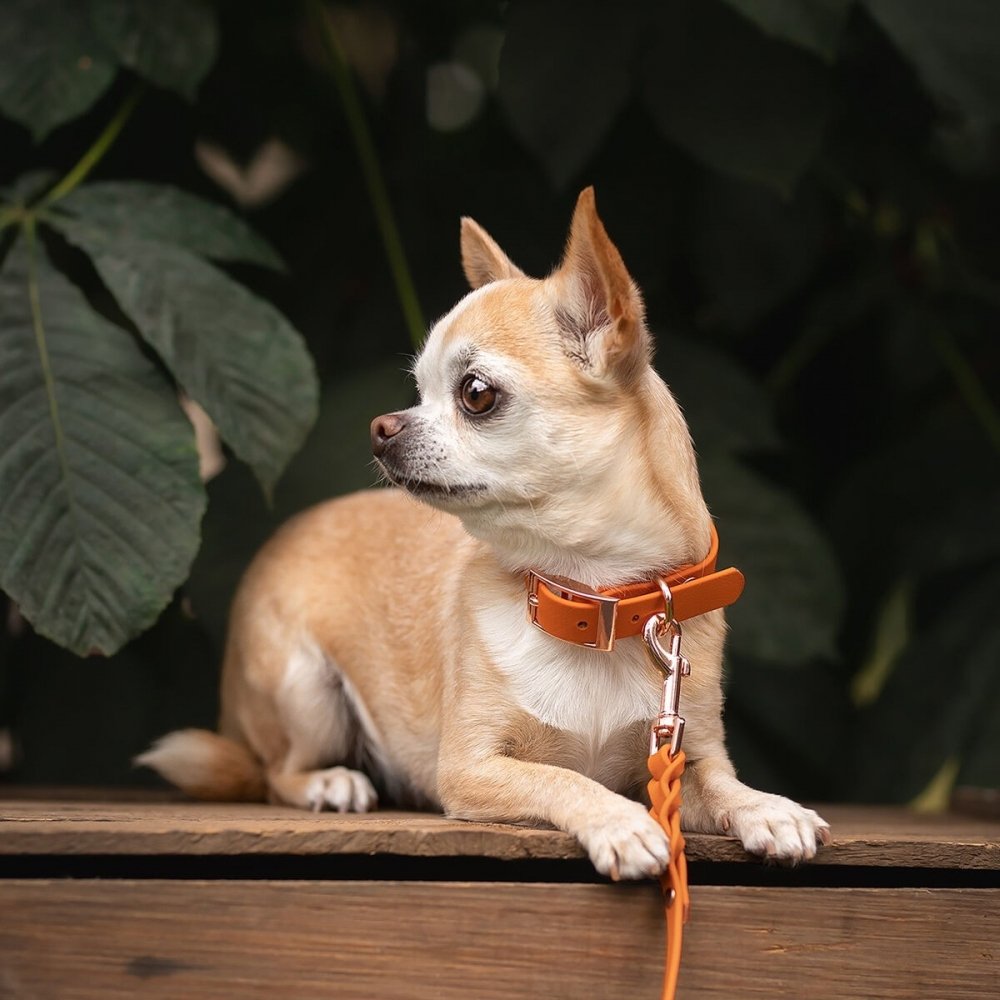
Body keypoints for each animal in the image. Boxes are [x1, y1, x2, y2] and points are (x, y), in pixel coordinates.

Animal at [139, 191, 828, 880]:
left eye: (475, 394)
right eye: (418, 389)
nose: (381, 426)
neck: (592, 596)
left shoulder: (684, 754)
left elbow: (722, 782)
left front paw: (768, 808)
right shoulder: (471, 769)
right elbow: (565, 778)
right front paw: (621, 821)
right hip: (303, 687)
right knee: (274, 772)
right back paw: (328, 783)